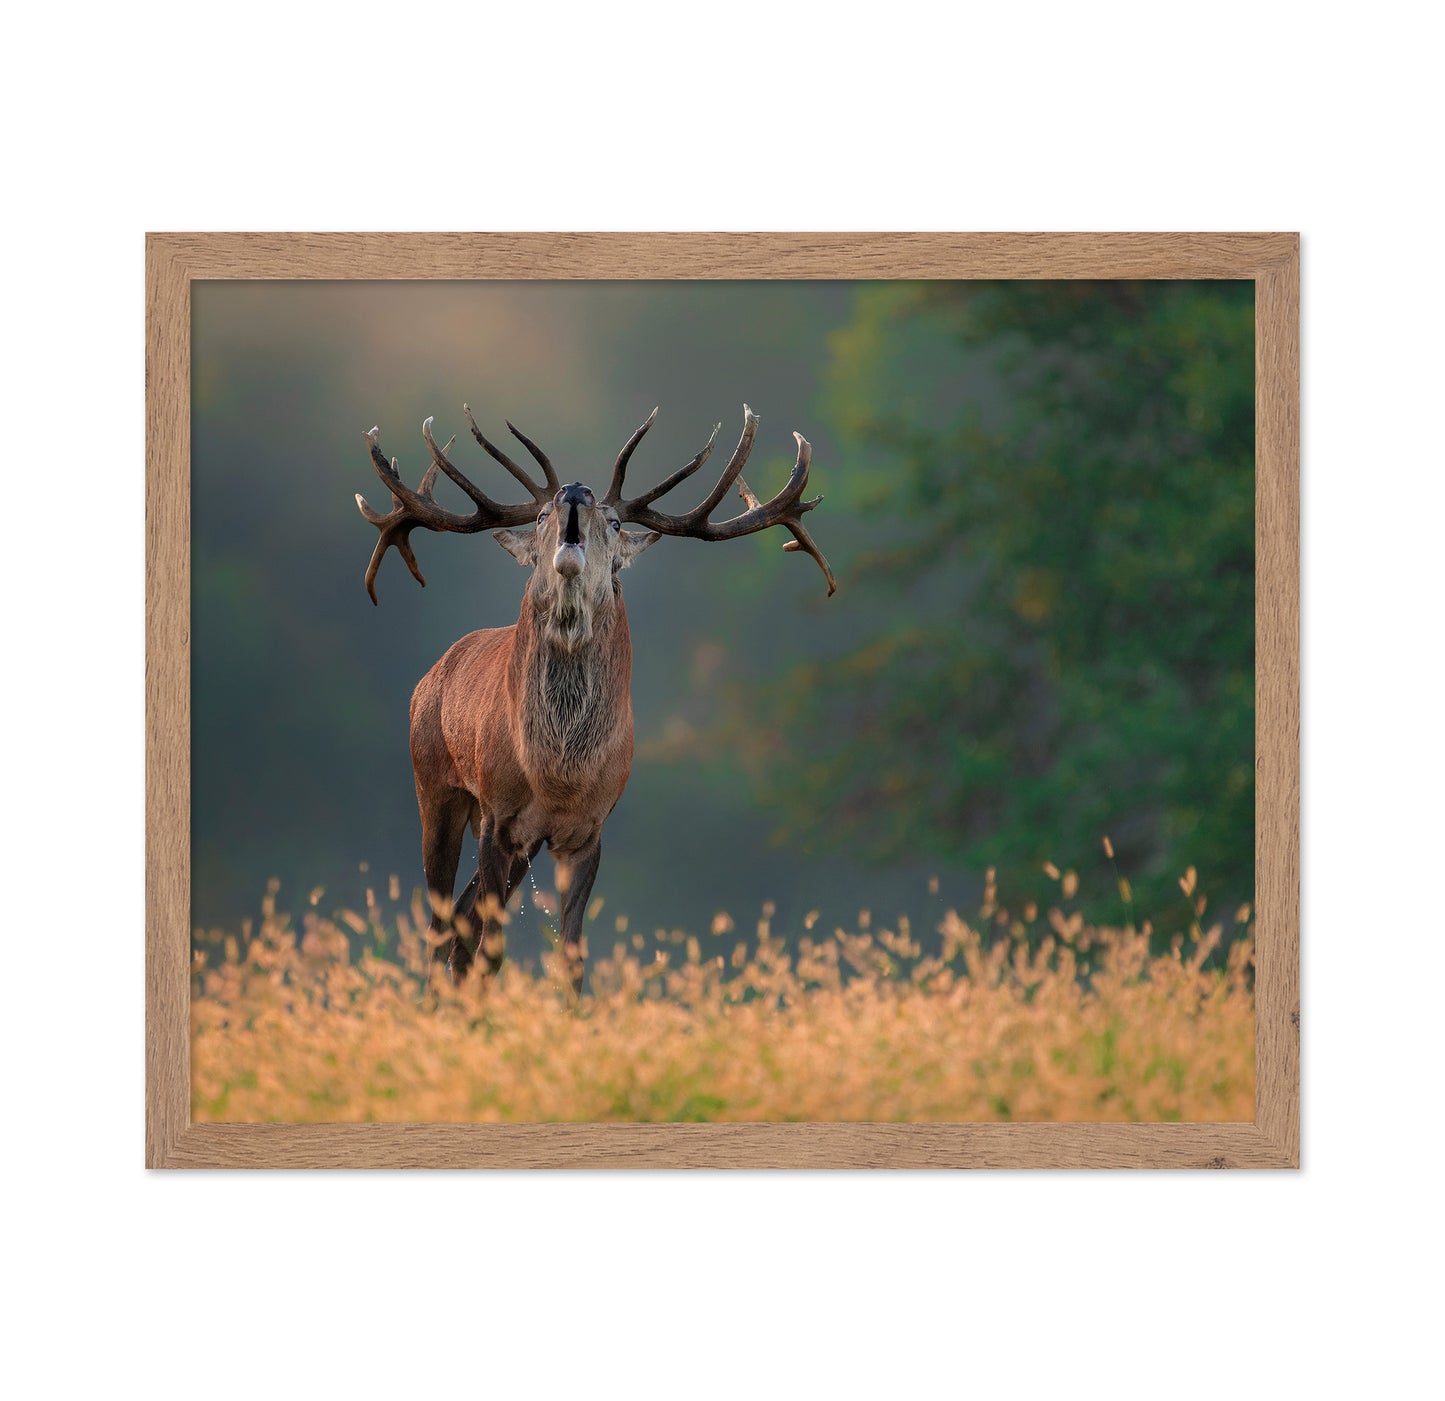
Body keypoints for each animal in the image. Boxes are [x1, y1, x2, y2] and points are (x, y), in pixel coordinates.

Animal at [355, 404, 834, 994]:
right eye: (539, 516)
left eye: (615, 523)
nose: (575, 493)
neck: (559, 774)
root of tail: (430, 676)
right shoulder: (496, 814)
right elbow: (494, 949)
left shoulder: (589, 829)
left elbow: (572, 958)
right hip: (435, 787)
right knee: (443, 926)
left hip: (518, 840)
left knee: (461, 923)